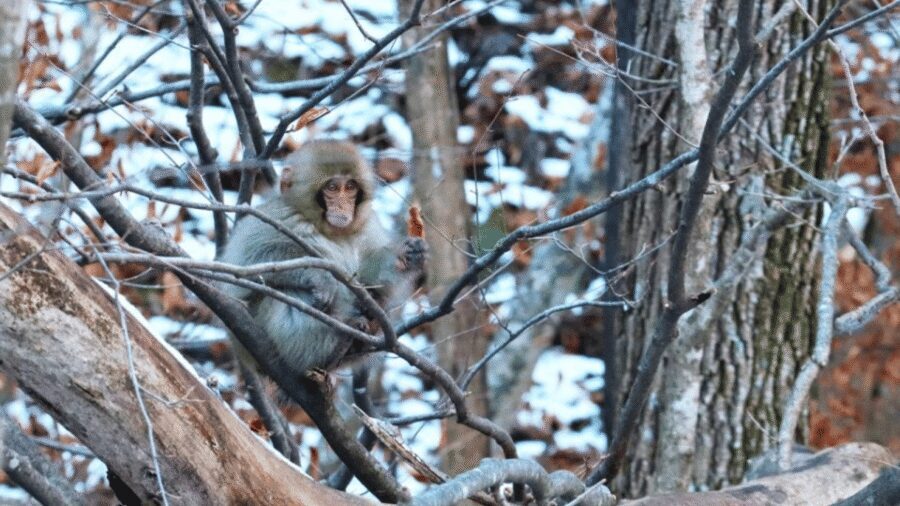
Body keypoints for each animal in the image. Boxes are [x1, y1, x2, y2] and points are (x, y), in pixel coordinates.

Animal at [218, 140, 425, 376]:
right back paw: (331, 346)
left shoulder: (368, 223)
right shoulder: (274, 217)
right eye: (332, 188)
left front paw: (405, 258)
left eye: (350, 187)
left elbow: (370, 278)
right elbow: (246, 266)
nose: (343, 205)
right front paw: (320, 276)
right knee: (284, 293)